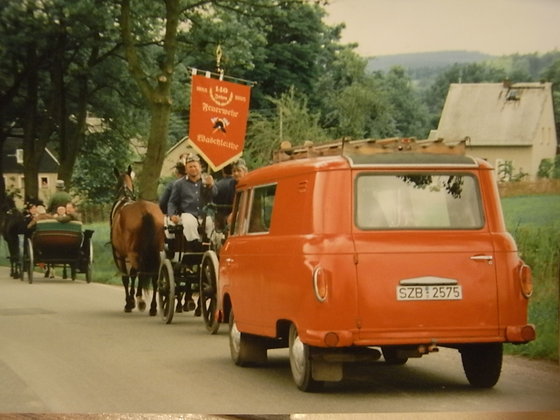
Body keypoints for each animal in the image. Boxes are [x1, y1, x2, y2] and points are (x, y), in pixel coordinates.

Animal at [111, 166, 164, 314]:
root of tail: (145, 211)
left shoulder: (119, 254)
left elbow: (126, 277)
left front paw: (130, 302)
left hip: (132, 253)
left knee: (136, 273)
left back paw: (138, 301)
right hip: (156, 252)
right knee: (154, 276)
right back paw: (153, 307)